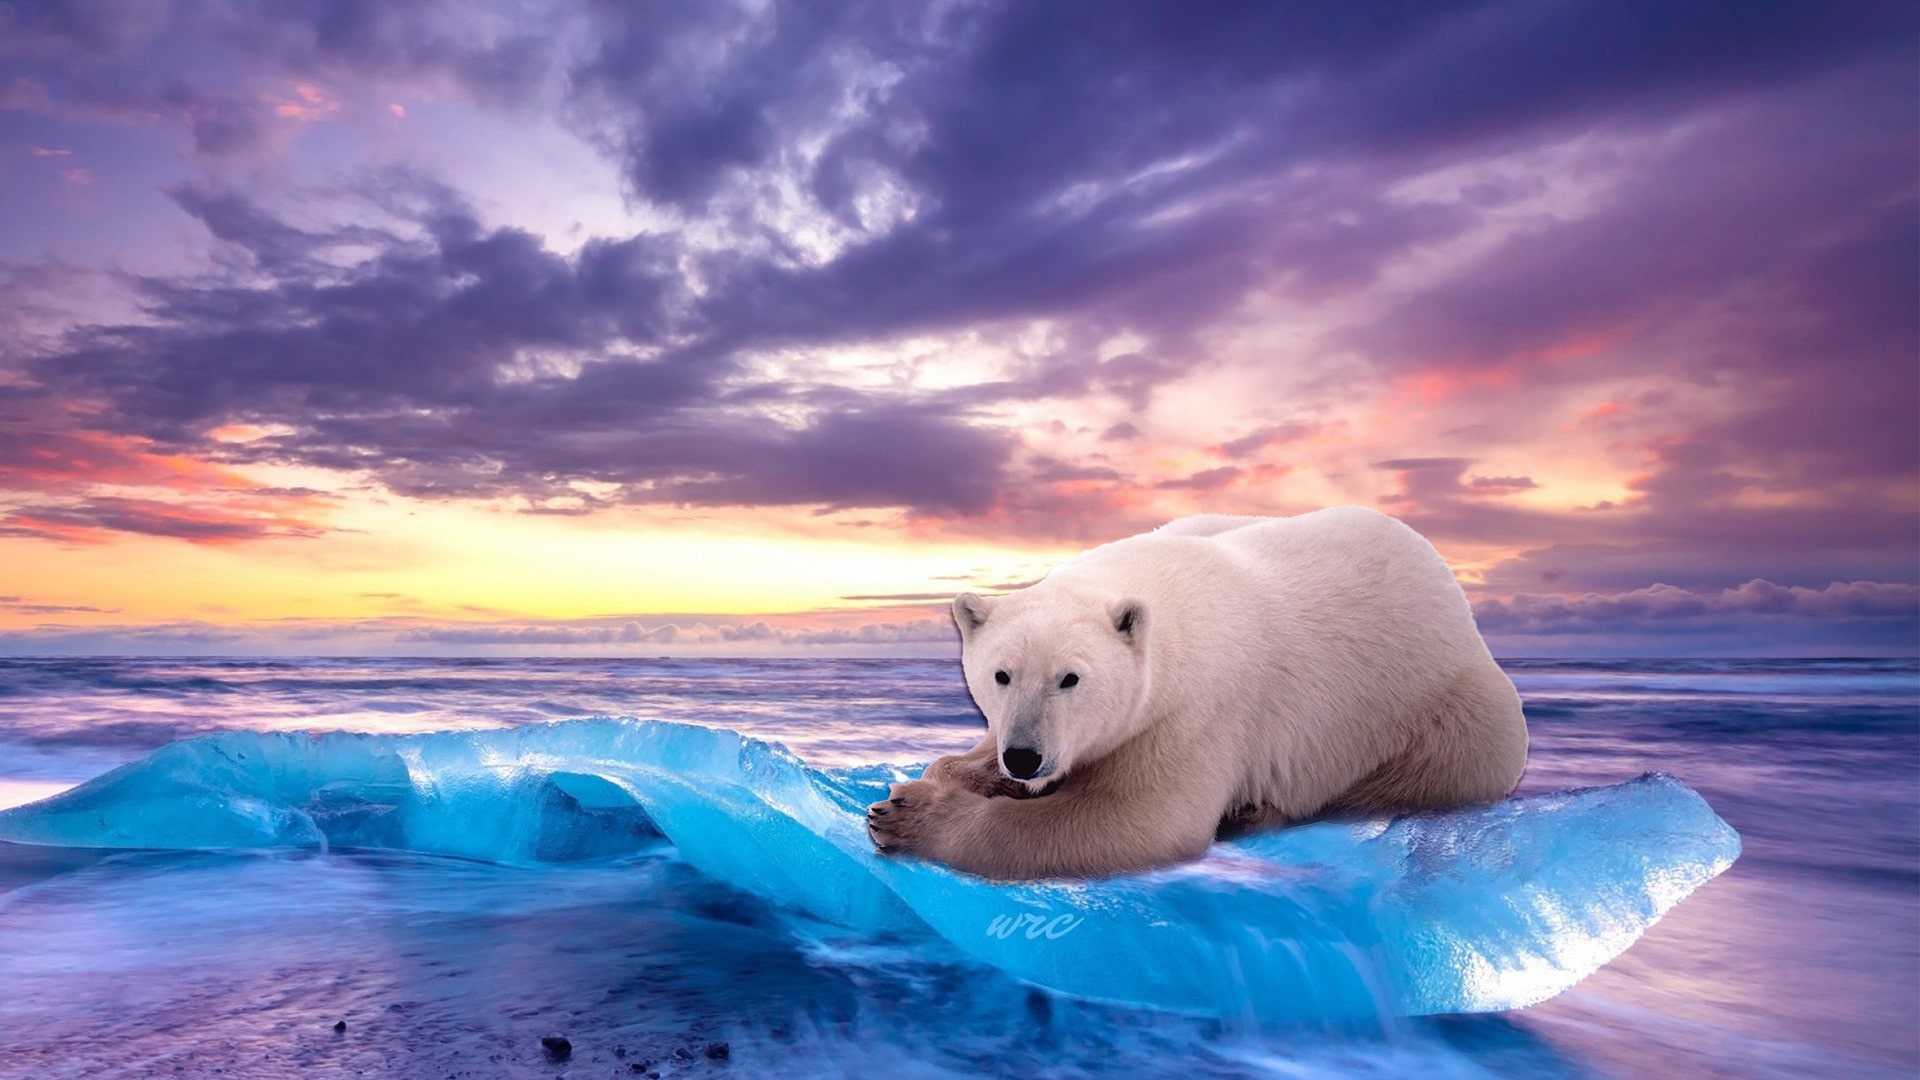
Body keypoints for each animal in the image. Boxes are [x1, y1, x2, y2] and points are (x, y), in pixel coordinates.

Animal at [867, 507, 1529, 880]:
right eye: (1001, 675)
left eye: (1071, 678)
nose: (1025, 757)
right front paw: (950, 776)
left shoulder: (1197, 711)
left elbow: (1139, 819)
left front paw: (907, 816)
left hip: (1449, 708)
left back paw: (1256, 812)